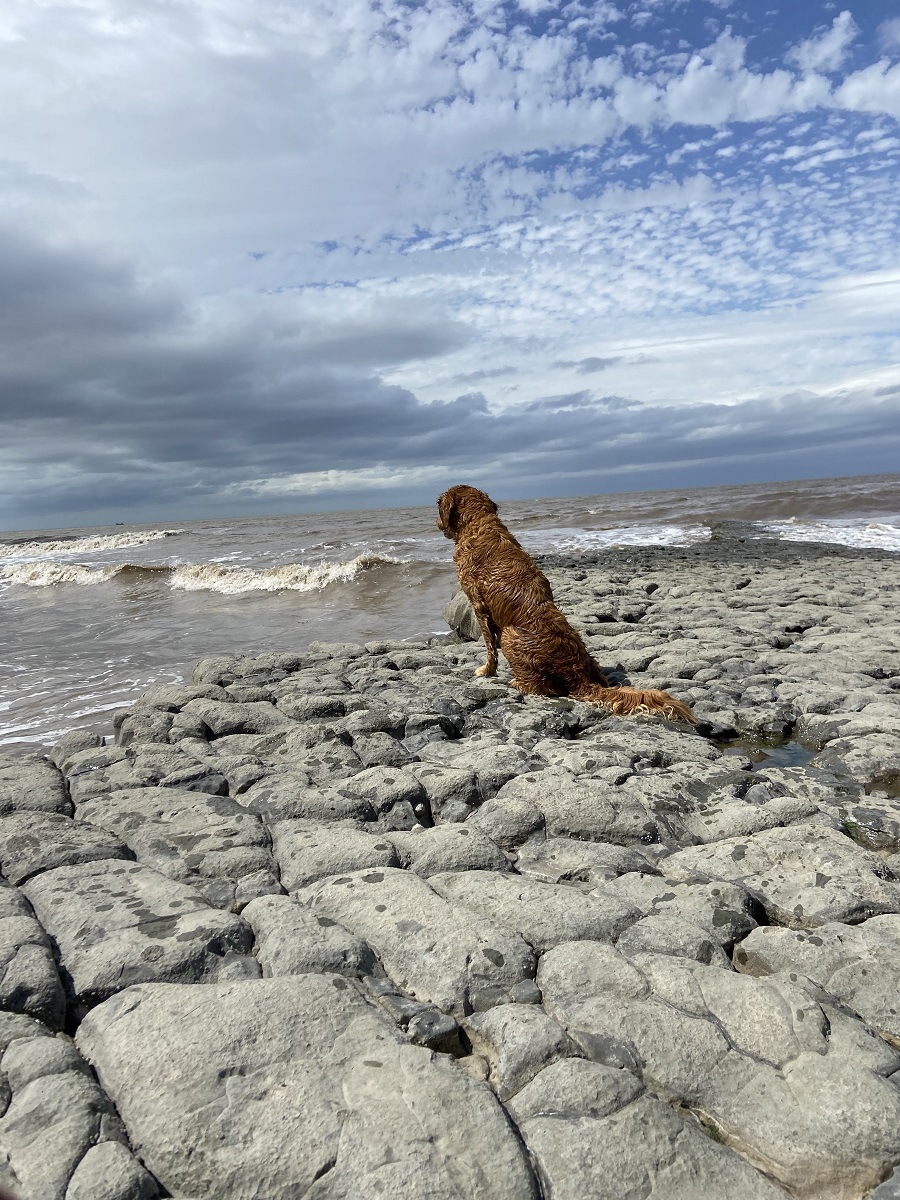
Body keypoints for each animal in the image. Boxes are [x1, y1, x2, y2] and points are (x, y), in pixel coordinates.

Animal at [436, 484, 696, 720]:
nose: (436, 522)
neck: (479, 524)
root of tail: (577, 675)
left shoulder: (479, 606)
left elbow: (490, 647)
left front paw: (486, 670)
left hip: (511, 634)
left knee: (542, 687)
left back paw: (517, 682)